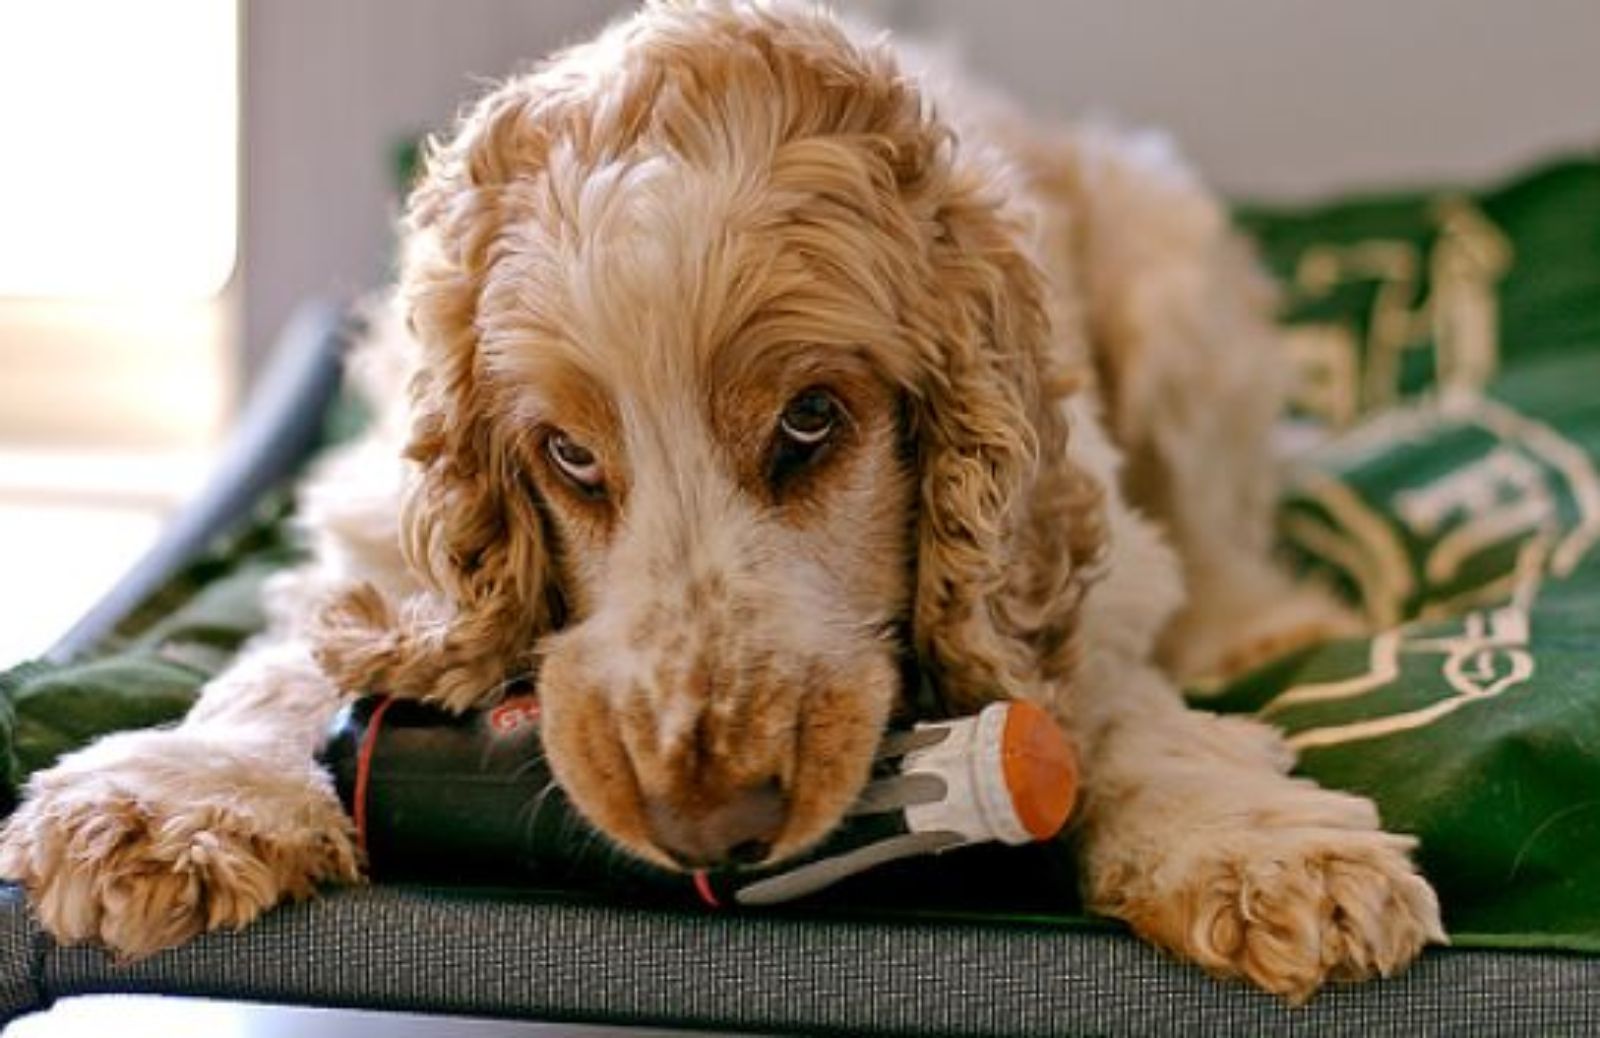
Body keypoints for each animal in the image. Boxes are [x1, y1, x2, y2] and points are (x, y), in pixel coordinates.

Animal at [0, 2, 1446, 1004]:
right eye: (568, 457)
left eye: (811, 421)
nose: (709, 824)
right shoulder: (378, 510)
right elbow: (297, 655)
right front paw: (175, 801)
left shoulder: (1073, 529)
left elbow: (1110, 697)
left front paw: (1263, 853)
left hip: (1174, 276)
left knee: (1223, 522)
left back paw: (1260, 621)